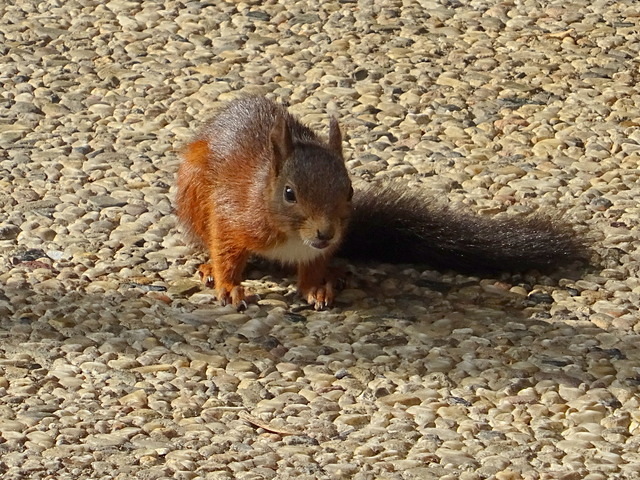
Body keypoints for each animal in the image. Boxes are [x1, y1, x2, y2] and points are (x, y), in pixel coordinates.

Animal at [175, 96, 587, 310]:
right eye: (289, 193)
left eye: (349, 191)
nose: (325, 233)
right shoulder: (233, 216)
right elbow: (226, 249)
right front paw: (228, 286)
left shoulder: (319, 248)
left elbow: (312, 268)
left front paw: (317, 287)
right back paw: (207, 267)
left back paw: (336, 273)